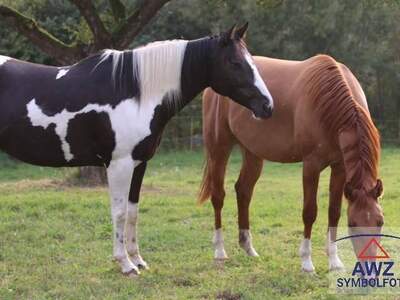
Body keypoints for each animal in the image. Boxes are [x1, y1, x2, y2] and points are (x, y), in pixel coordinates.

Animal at [0, 24, 276, 276]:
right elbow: (120, 213)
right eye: (235, 62)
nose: (268, 106)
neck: (134, 91)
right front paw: (125, 264)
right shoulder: (118, 165)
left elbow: (133, 211)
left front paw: (138, 259)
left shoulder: (139, 163)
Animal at [200, 54, 384, 272]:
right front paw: (306, 262)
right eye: (353, 223)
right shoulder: (311, 165)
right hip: (219, 148)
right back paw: (220, 251)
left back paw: (249, 248)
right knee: (218, 196)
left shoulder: (339, 167)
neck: (328, 104)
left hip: (253, 153)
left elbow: (334, 212)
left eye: (380, 222)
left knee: (243, 191)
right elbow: (309, 212)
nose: (369, 265)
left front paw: (334, 261)